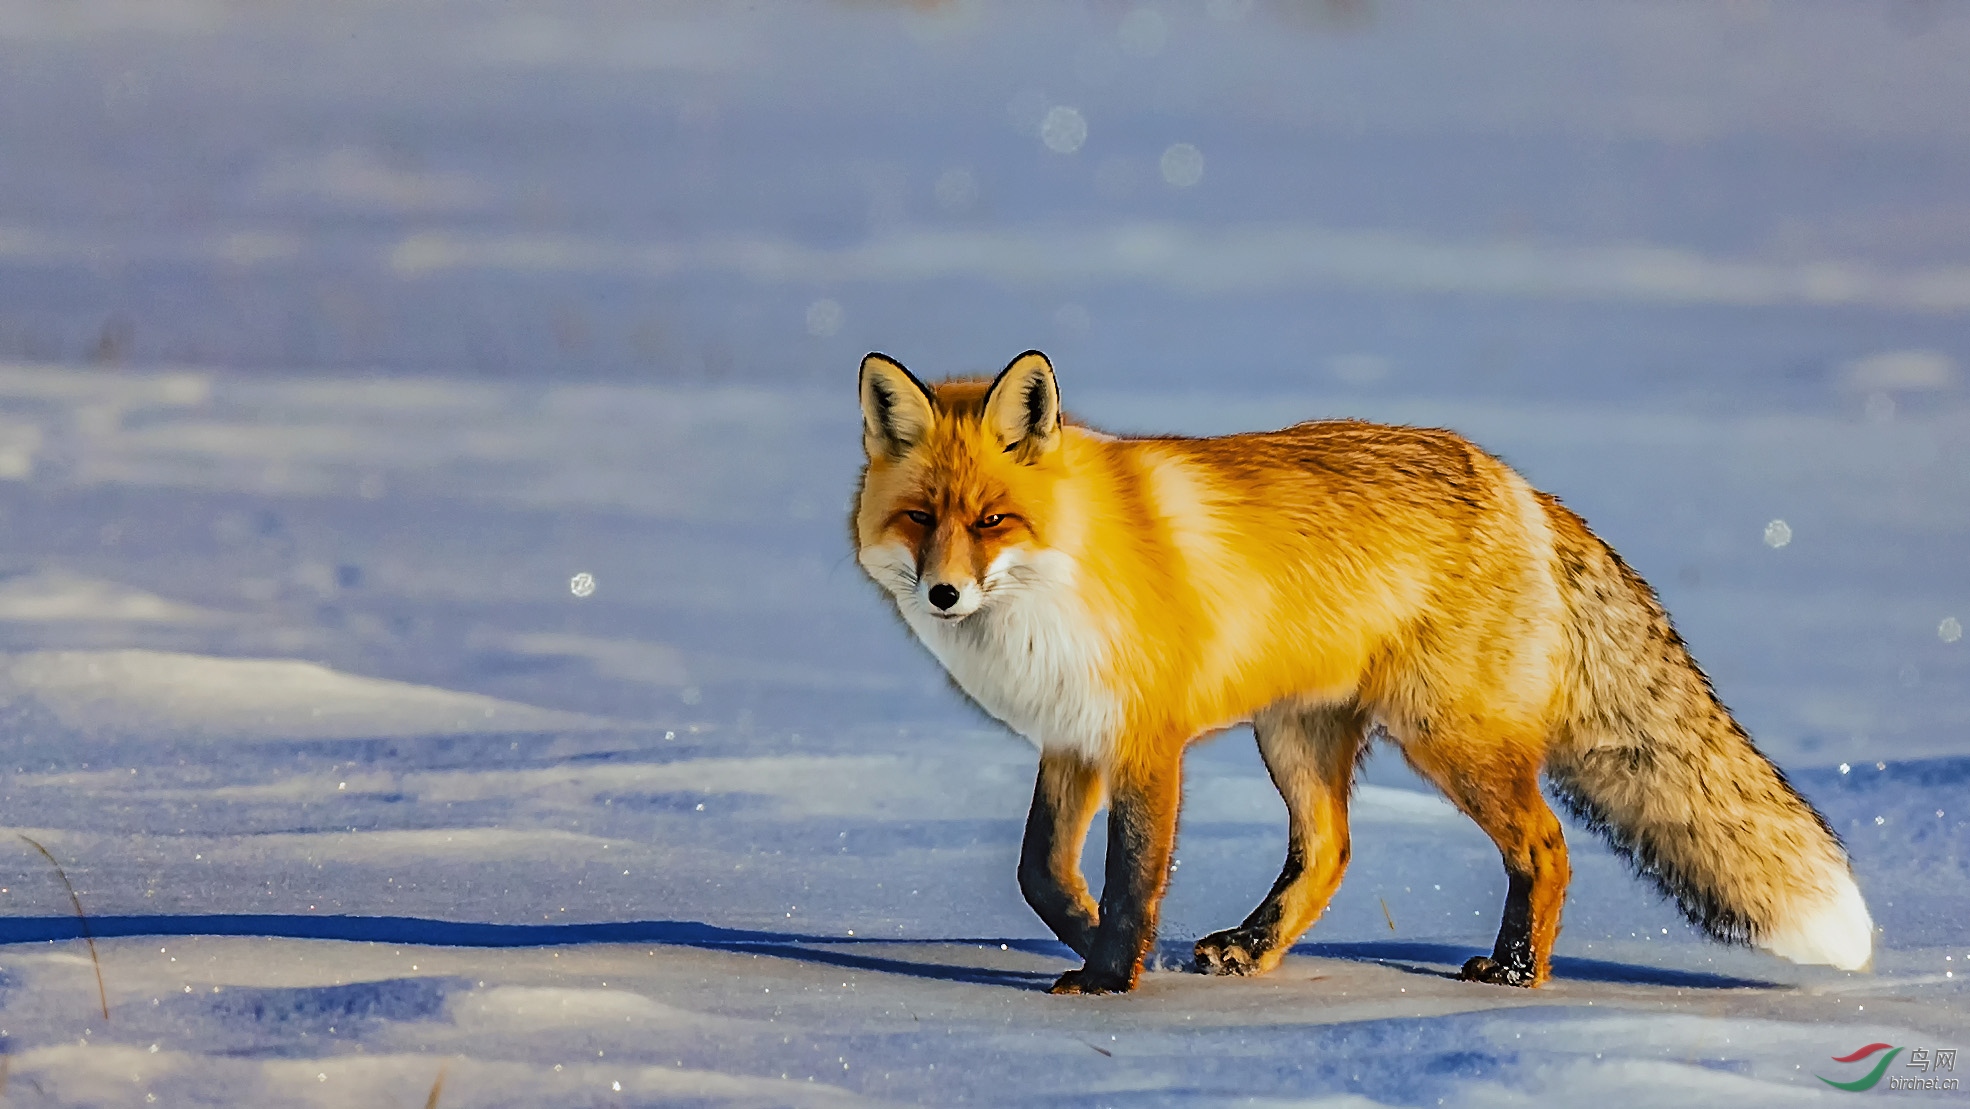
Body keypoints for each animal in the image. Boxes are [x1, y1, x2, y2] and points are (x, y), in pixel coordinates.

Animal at [854, 350, 1867, 992]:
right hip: (1295, 736)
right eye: (919, 519)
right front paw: (1111, 943)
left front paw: (1109, 978)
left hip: (1447, 741)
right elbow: (1042, 873)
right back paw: (1252, 948)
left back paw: (1513, 973)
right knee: (1331, 849)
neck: (1064, 573)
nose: (944, 593)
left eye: (993, 520)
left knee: (1545, 846)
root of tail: (1522, 487)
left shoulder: (1146, 740)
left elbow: (1134, 874)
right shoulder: (1072, 737)